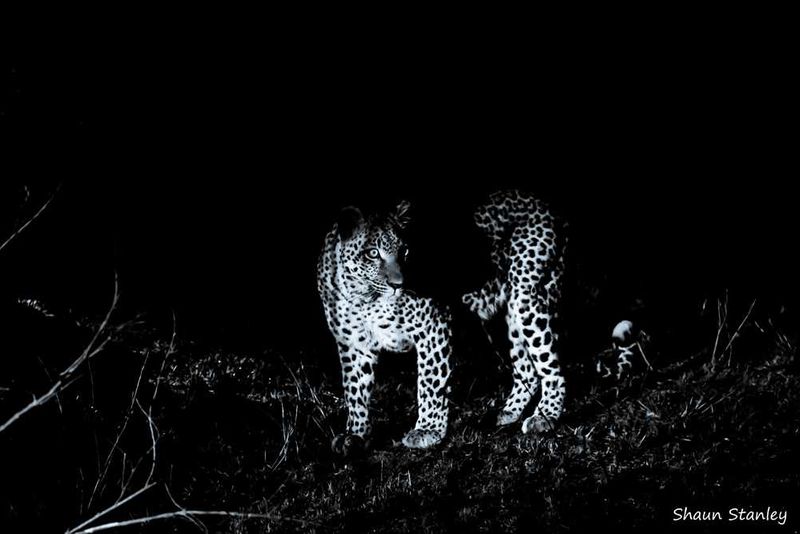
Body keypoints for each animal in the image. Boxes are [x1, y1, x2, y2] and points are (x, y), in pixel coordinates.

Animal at [317, 200, 452, 452]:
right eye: (373, 253)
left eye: (405, 251)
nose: (398, 284)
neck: (365, 298)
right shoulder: (354, 344)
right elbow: (354, 388)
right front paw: (355, 433)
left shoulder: (433, 323)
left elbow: (431, 381)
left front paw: (427, 430)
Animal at [462, 190, 567, 434]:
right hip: (512, 309)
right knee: (527, 371)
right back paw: (510, 411)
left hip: (525, 289)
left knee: (550, 370)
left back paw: (546, 416)